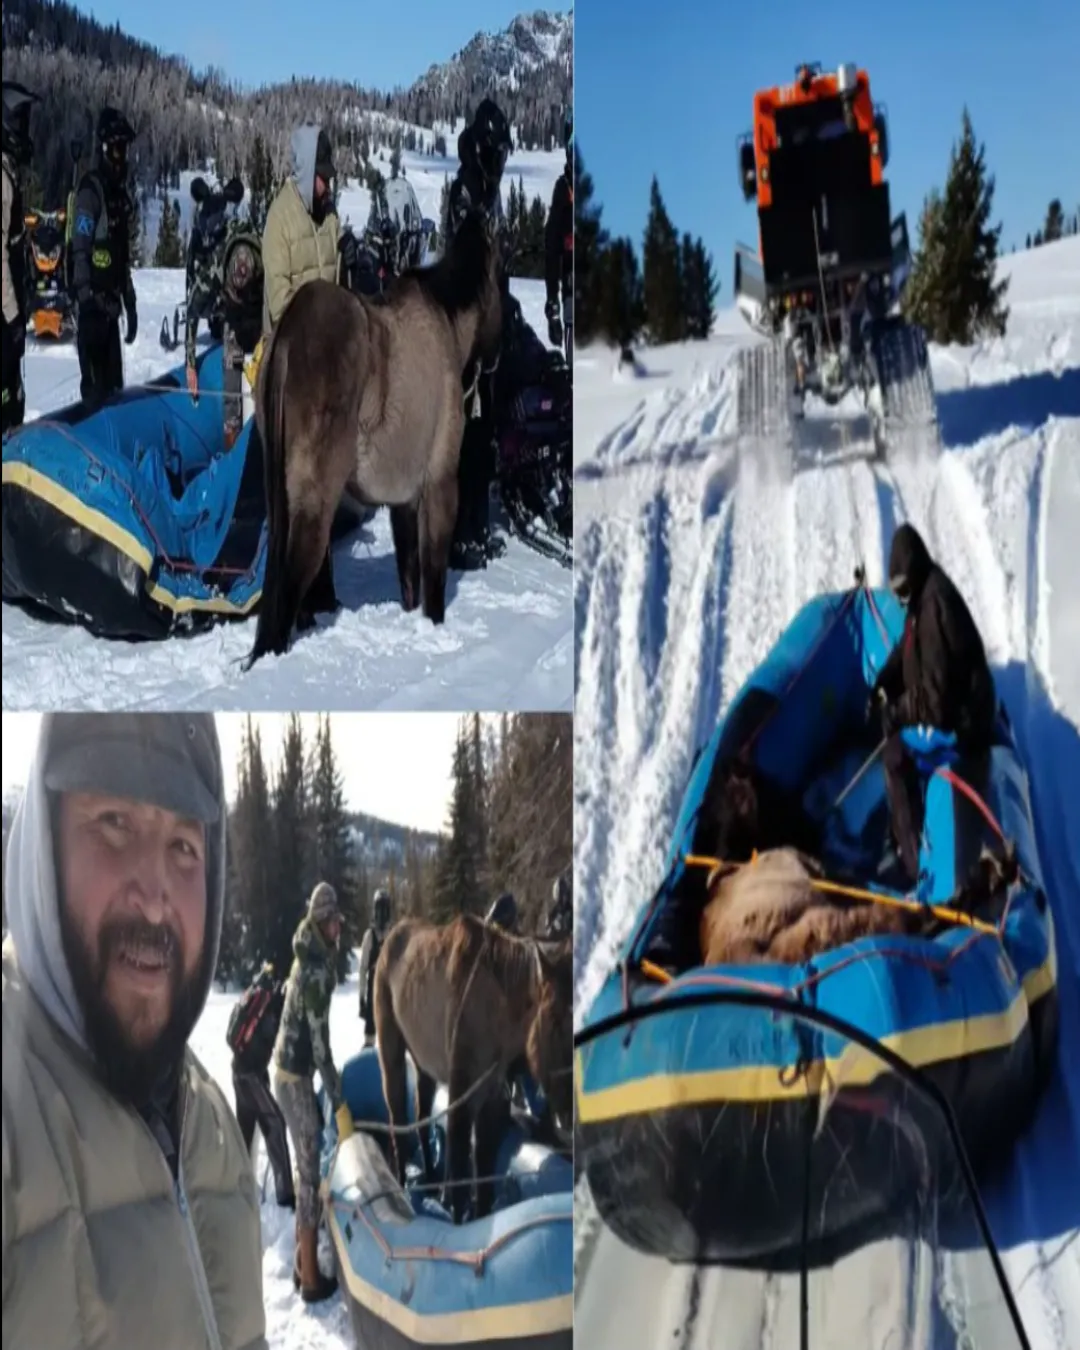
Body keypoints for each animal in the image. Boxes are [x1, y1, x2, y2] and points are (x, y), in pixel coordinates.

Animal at [242, 209, 503, 669]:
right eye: (501, 280)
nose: (498, 354)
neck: (445, 321)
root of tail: (289, 333)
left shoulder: (403, 500)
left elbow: (409, 575)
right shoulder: (438, 482)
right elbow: (433, 575)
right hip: (315, 504)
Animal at [373, 913, 572, 1223]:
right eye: (554, 1018)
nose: (570, 1109)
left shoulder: (495, 1099)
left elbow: (484, 1181)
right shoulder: (462, 1093)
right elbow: (460, 1183)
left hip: (424, 1066)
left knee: (421, 1119)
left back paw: (430, 1180)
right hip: (390, 1046)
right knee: (398, 1123)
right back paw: (403, 1187)